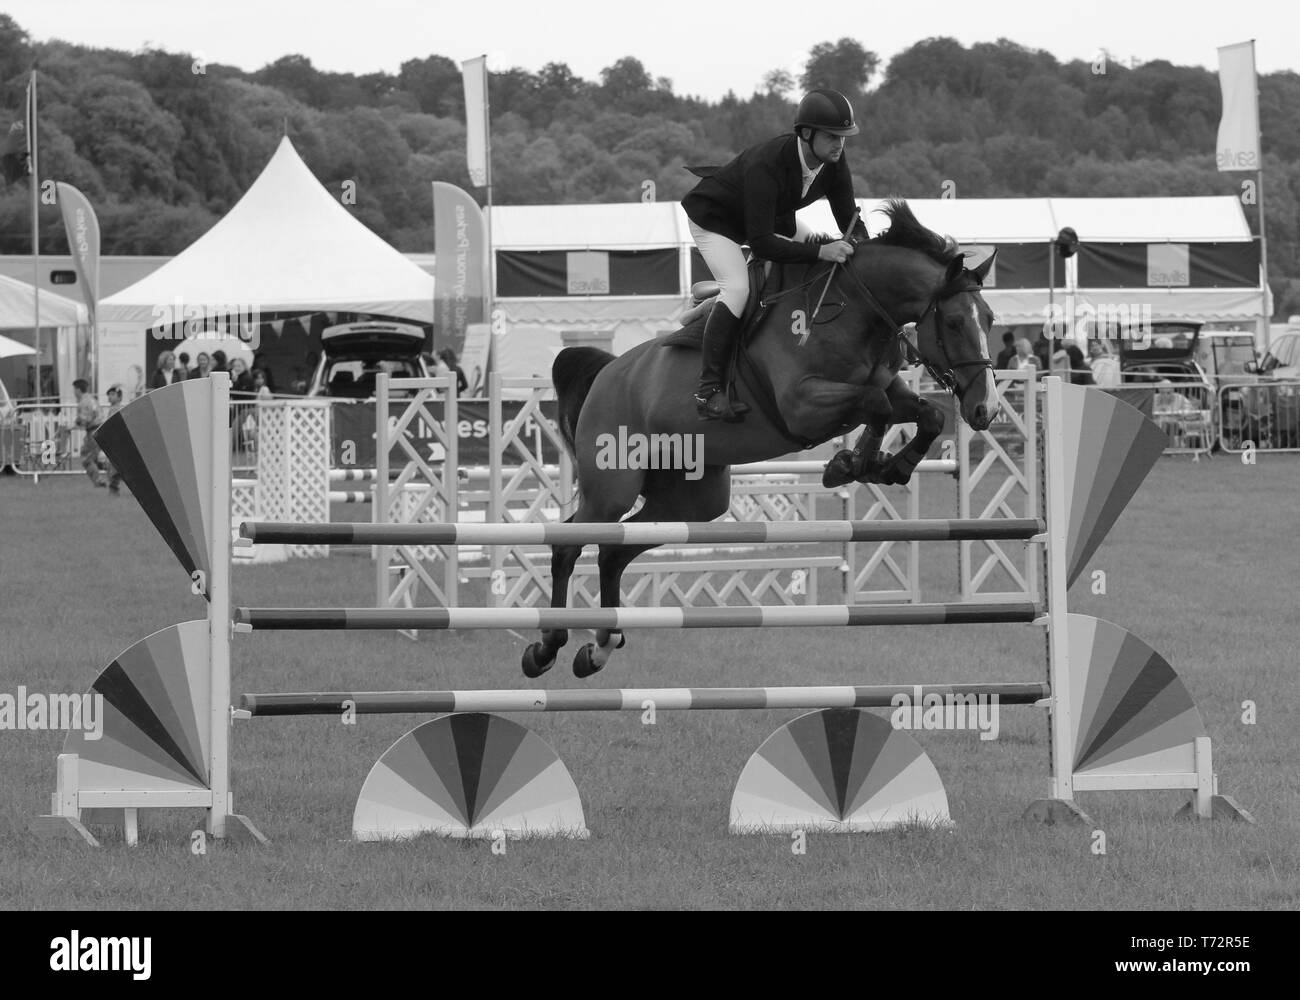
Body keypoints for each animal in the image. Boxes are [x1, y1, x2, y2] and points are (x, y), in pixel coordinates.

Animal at [521, 199, 1000, 679]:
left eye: (991, 319)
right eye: (954, 322)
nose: (987, 409)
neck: (851, 308)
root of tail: (607, 372)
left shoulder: (887, 389)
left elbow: (927, 414)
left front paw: (889, 467)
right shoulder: (802, 405)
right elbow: (877, 405)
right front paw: (848, 465)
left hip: (693, 500)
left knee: (613, 552)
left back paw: (599, 648)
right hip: (612, 488)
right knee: (569, 545)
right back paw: (547, 647)